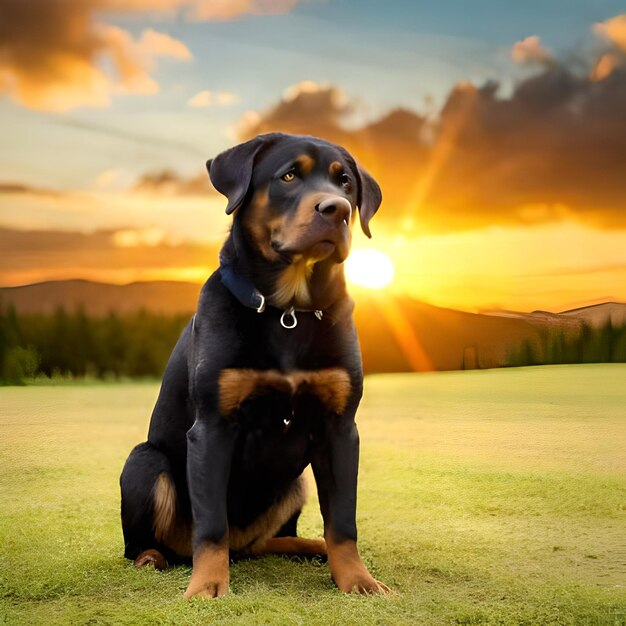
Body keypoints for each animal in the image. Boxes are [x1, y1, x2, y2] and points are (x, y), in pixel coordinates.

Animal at [119, 130, 388, 596]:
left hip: (294, 486)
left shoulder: (339, 427)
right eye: (289, 175)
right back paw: (152, 557)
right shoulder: (212, 426)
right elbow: (211, 524)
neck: (289, 311)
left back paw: (308, 546)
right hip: (144, 463)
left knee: (263, 542)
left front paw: (357, 580)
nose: (336, 209)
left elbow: (343, 520)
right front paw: (207, 587)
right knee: (154, 541)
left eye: (346, 183)